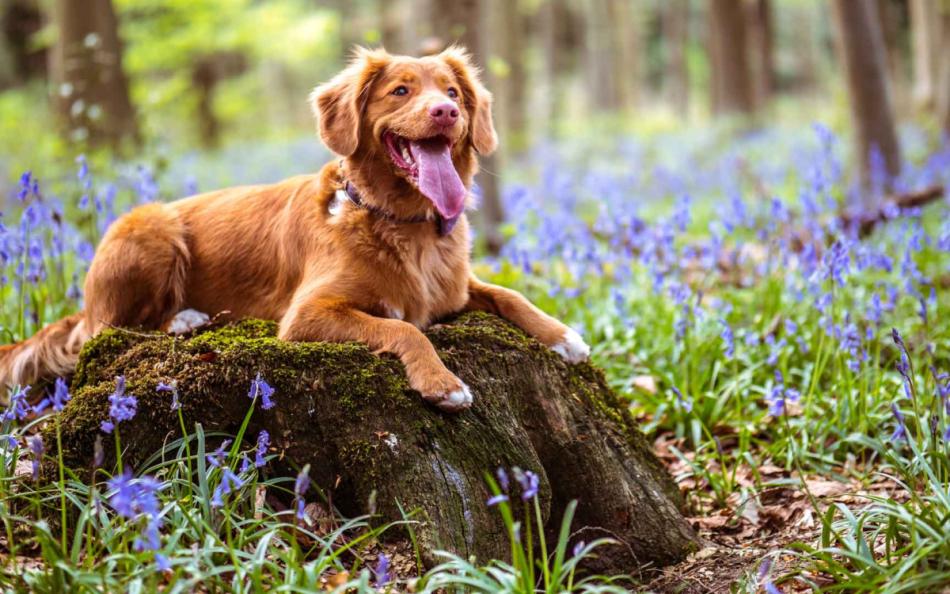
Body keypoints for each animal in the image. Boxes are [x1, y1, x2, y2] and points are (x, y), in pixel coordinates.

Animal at [0, 46, 592, 410]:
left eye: (452, 91)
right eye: (401, 91)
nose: (445, 112)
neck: (403, 225)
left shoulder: (453, 288)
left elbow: (508, 294)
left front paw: (562, 335)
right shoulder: (306, 314)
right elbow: (406, 329)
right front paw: (442, 383)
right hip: (151, 228)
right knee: (110, 330)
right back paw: (184, 319)